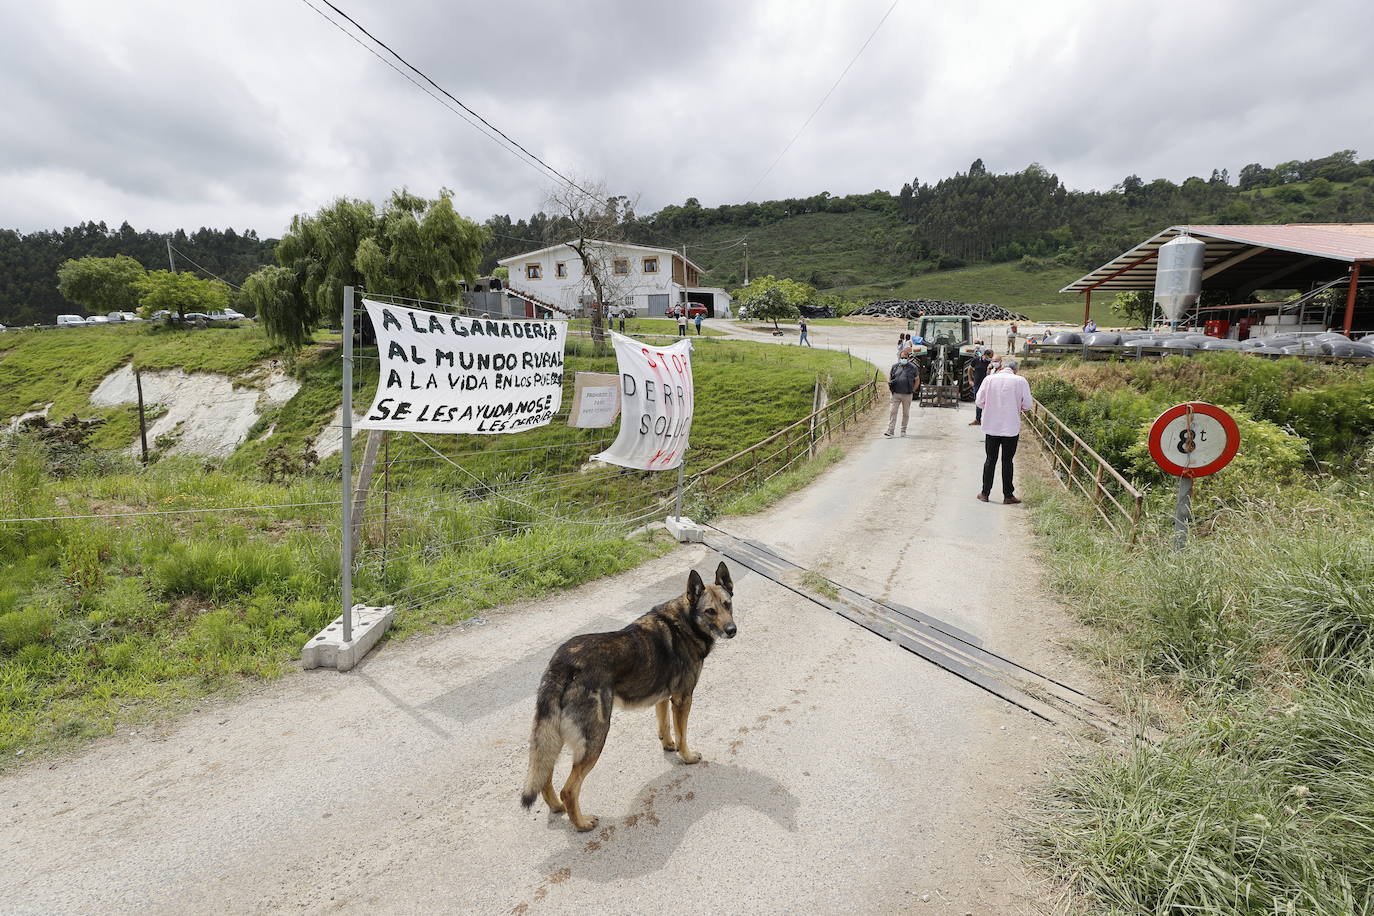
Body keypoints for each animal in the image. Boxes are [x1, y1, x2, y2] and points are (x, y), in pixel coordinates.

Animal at [519, 563, 736, 834]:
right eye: (710, 611)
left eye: (728, 605)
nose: (732, 631)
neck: (686, 621)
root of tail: (563, 663)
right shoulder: (683, 699)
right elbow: (683, 734)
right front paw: (686, 756)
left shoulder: (663, 698)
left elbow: (664, 726)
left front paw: (668, 745)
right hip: (595, 739)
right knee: (569, 789)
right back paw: (582, 823)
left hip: (554, 737)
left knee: (545, 775)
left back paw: (558, 807)